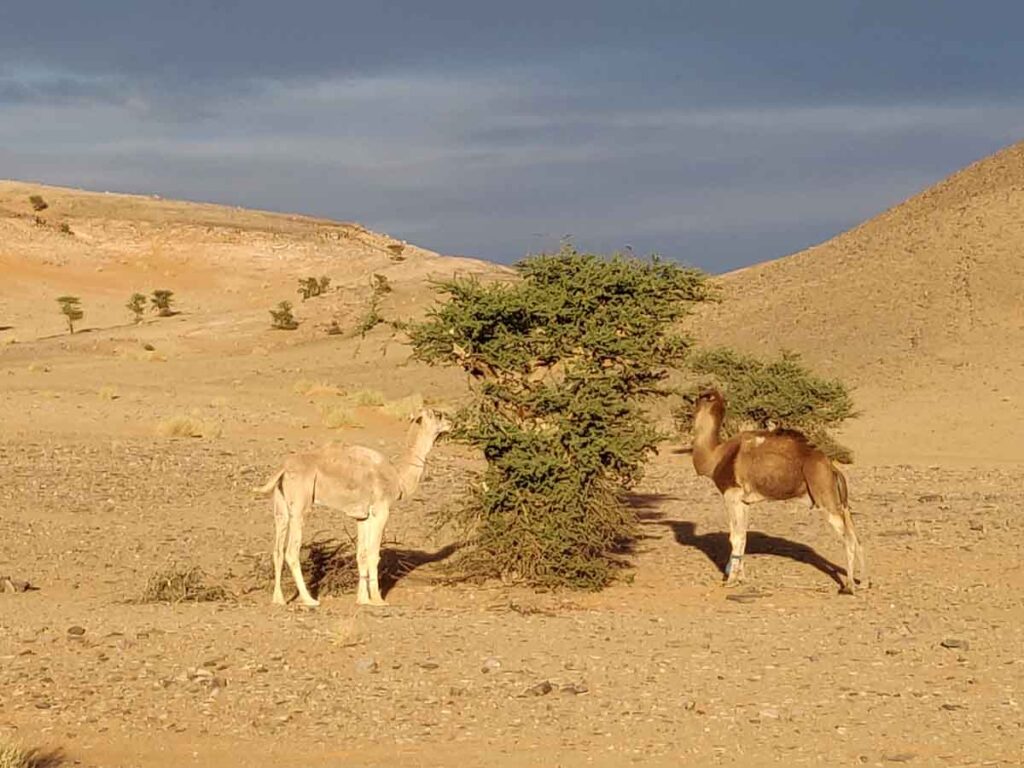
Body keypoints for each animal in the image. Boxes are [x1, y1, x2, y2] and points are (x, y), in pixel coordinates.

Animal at [253, 409, 450, 606]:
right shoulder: (381, 511)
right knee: (292, 552)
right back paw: (310, 600)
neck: (397, 477)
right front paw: (377, 599)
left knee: (277, 550)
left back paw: (279, 599)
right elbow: (373, 554)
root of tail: (283, 469)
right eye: (437, 414)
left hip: (281, 507)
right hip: (300, 508)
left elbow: (361, 554)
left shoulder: (362, 516)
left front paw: (362, 599)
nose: (450, 422)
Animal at [688, 391, 864, 593]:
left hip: (825, 497)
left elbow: (735, 537)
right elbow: (743, 537)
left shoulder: (731, 495)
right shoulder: (744, 501)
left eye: (702, 396)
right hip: (840, 502)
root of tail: (833, 468)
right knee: (856, 536)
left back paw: (849, 587)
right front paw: (740, 578)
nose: (689, 398)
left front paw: (731, 580)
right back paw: (865, 581)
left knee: (848, 538)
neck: (715, 457)